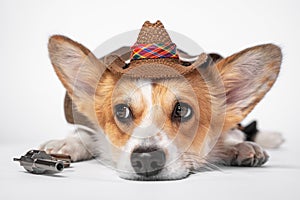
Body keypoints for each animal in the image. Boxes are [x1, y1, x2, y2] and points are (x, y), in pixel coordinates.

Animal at [39, 21, 284, 180]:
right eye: (121, 112)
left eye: (183, 110)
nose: (147, 159)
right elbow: (88, 135)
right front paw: (67, 144)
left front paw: (238, 148)